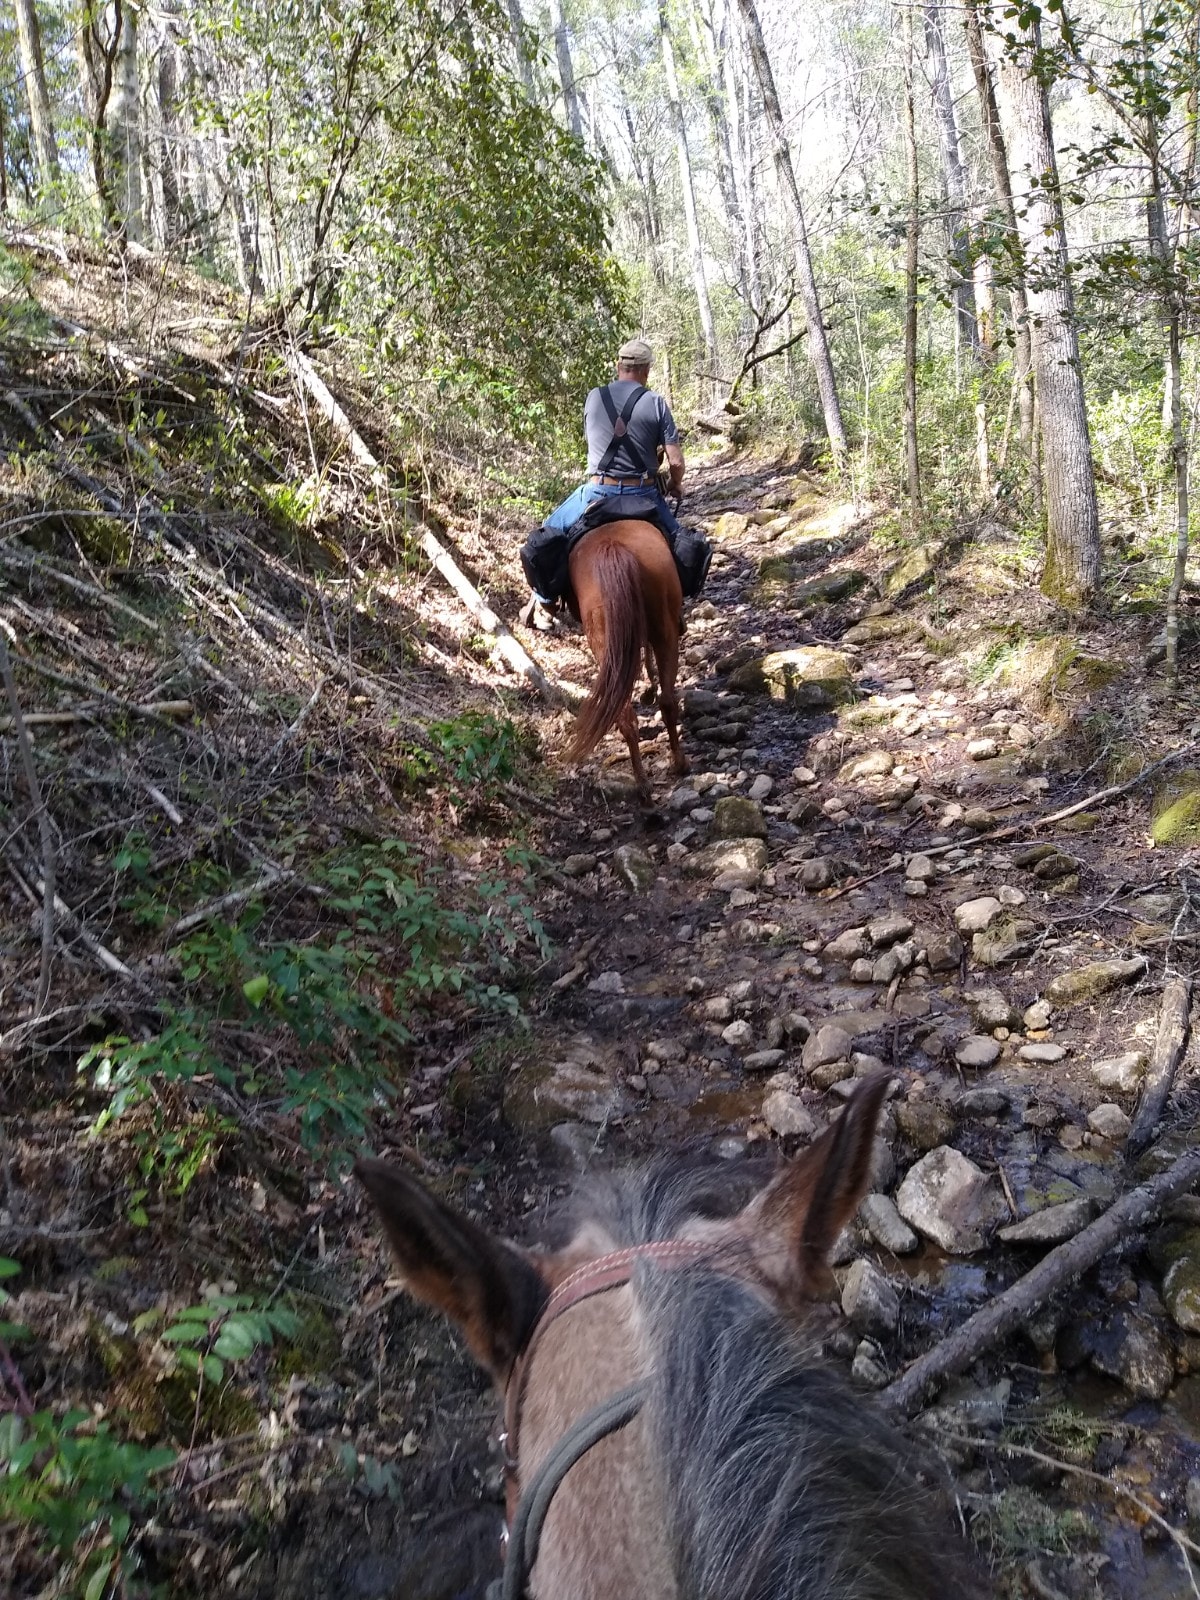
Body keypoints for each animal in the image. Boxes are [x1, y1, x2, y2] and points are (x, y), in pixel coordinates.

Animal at [563, 518, 684, 800]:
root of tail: (613, 547)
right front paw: (649, 687)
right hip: (665, 631)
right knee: (667, 702)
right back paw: (678, 764)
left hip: (606, 641)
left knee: (629, 715)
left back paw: (644, 787)